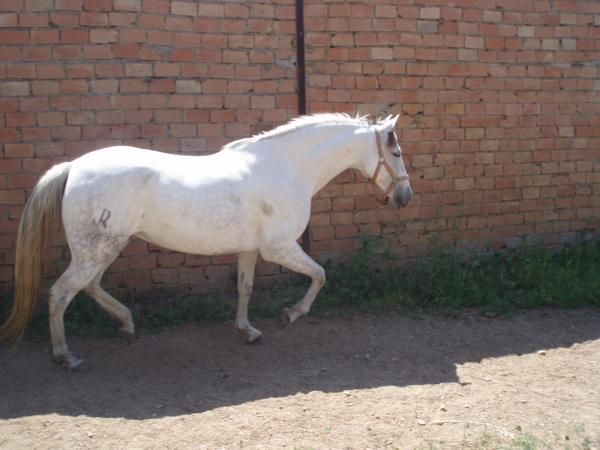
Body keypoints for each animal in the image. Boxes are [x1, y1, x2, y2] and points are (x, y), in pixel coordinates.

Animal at [0, 112, 412, 370]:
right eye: (396, 152)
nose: (404, 196)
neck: (286, 168)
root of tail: (73, 168)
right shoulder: (279, 248)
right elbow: (320, 275)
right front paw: (290, 314)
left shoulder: (249, 249)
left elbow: (245, 289)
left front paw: (247, 331)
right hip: (96, 250)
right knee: (61, 294)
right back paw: (65, 356)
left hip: (101, 250)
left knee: (90, 287)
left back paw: (127, 324)